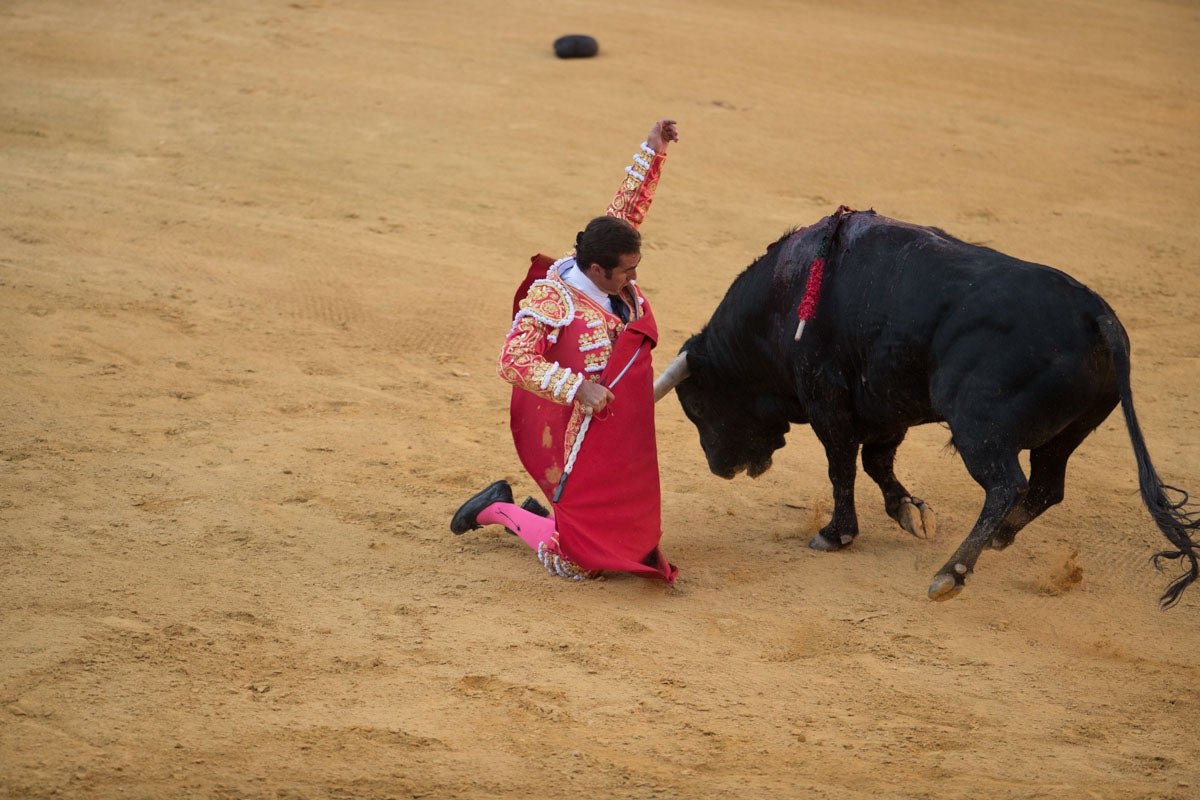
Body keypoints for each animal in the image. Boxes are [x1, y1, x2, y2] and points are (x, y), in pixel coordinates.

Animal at [662, 209, 1195, 609]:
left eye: (698, 405)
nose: (720, 468)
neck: (783, 299)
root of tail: (1097, 314)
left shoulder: (826, 398)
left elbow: (842, 465)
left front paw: (835, 534)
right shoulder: (885, 406)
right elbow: (876, 464)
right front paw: (910, 512)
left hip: (979, 427)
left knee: (1007, 485)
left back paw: (952, 572)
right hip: (1065, 434)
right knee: (1046, 487)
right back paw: (999, 539)